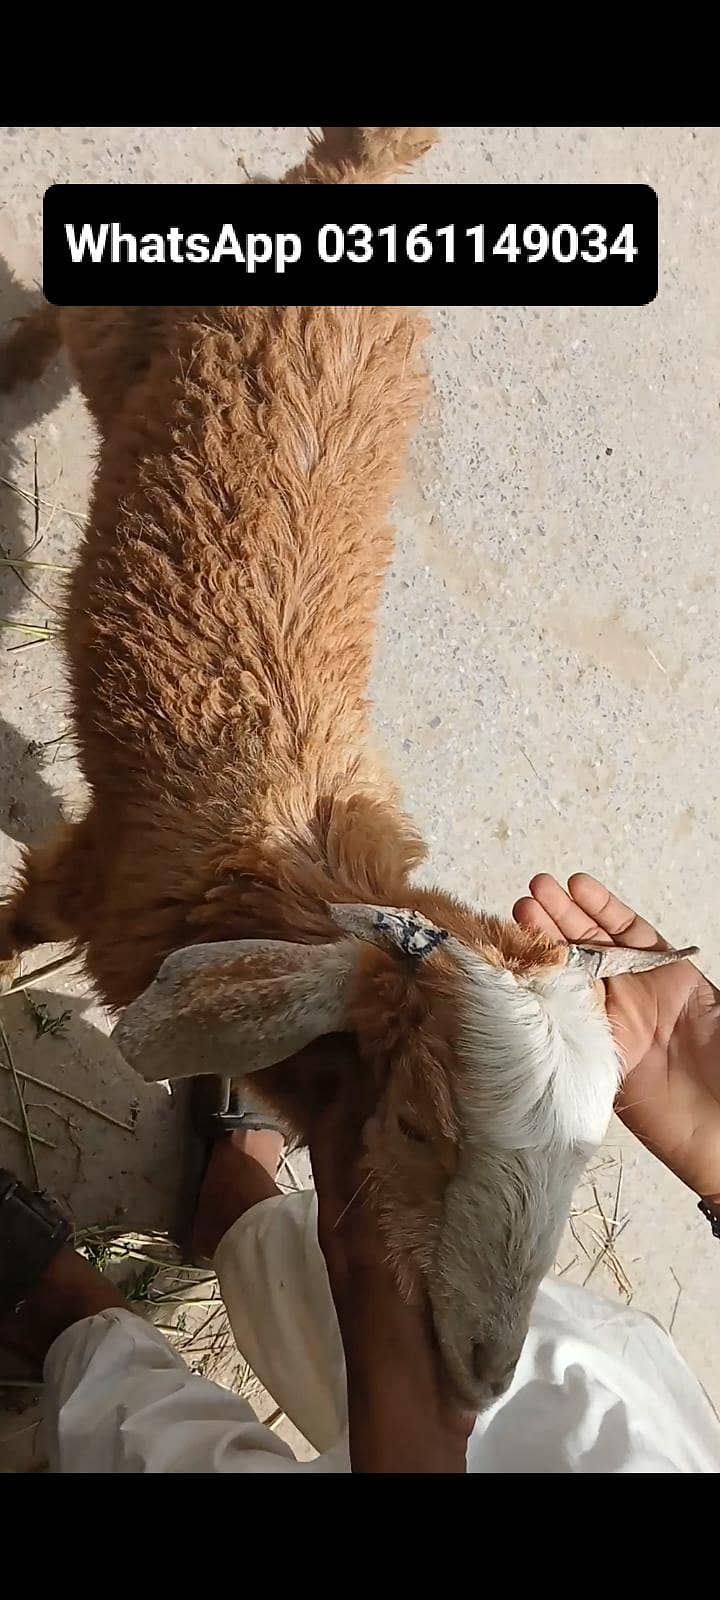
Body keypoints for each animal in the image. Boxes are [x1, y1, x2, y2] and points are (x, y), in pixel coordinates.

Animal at [0, 126, 693, 1409]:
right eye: (421, 1125)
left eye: (585, 1155)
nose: (480, 1376)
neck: (291, 865)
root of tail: (362, 175)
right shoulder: (92, 868)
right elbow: (14, 928)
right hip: (136, 330)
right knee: (76, 311)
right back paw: (11, 367)